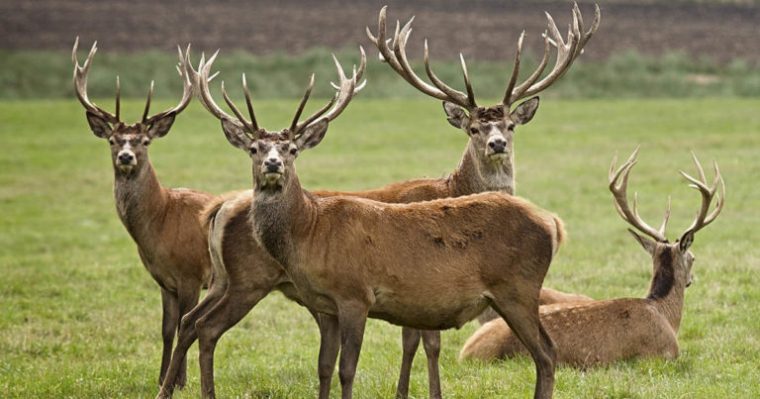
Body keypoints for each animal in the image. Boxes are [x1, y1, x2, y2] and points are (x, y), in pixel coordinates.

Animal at [72, 39, 214, 390]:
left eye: (145, 141)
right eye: (112, 140)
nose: (126, 156)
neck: (161, 222)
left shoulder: (191, 274)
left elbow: (185, 325)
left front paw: (179, 382)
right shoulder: (163, 281)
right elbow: (165, 329)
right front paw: (162, 377)